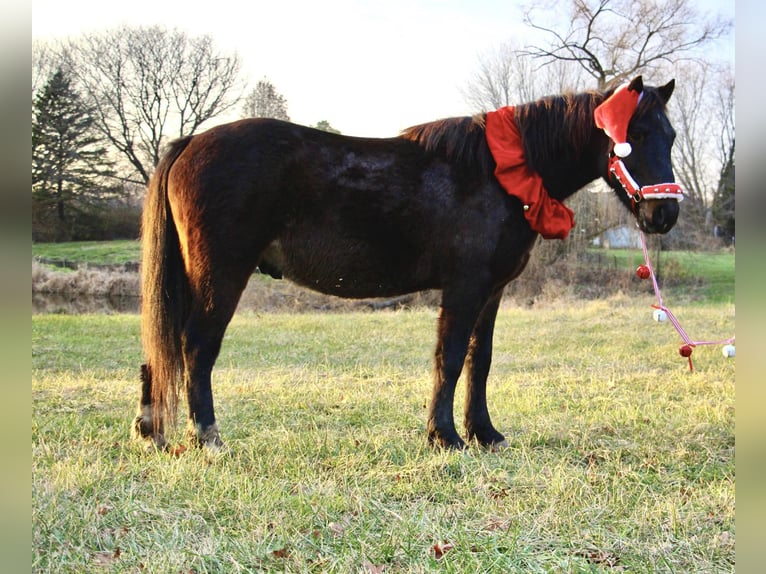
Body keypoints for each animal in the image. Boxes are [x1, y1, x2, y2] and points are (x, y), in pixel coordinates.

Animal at [135, 76, 680, 454]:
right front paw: (445, 437)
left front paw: (484, 432)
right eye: (631, 135)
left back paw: (153, 430)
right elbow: (450, 356)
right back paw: (208, 438)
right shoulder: (465, 287)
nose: (664, 214)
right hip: (221, 275)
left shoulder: (492, 290)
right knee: (196, 347)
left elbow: (479, 360)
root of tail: (189, 142)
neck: (498, 174)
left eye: (671, 136)